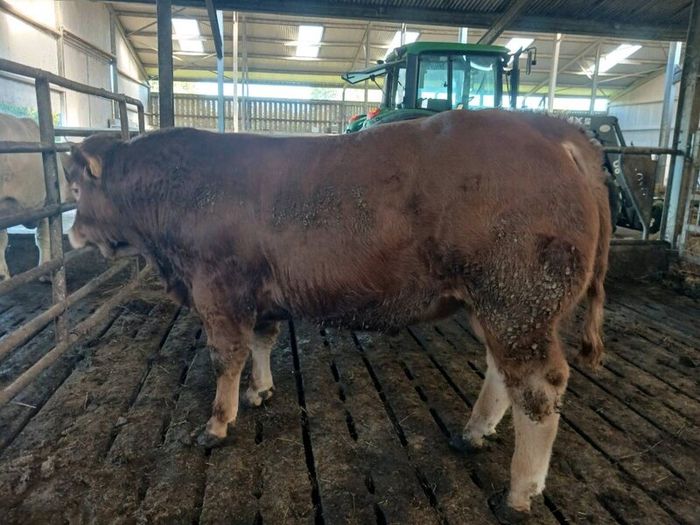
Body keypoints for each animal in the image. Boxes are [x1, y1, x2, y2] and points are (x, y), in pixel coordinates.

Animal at [65, 109, 610, 521]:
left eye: (74, 191)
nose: (71, 234)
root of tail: (552, 128)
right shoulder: (260, 295)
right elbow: (261, 342)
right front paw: (261, 390)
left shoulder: (218, 288)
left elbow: (226, 357)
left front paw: (217, 424)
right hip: (495, 307)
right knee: (503, 372)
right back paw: (473, 433)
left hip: (517, 301)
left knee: (538, 389)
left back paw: (520, 491)